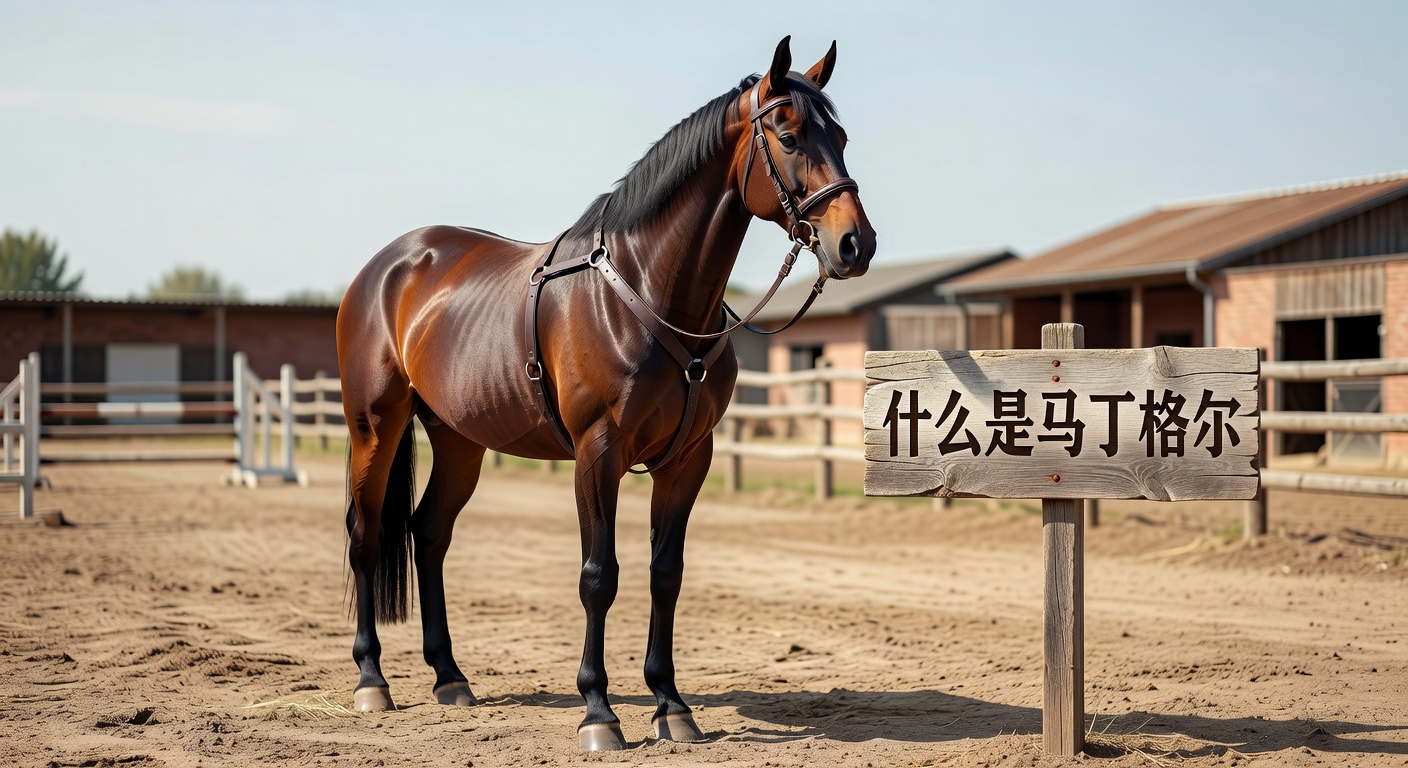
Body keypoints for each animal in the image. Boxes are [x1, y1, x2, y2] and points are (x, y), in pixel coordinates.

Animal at [336, 36, 876, 750]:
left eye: (840, 137)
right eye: (788, 137)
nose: (856, 244)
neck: (645, 291)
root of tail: (387, 266)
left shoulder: (687, 460)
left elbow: (665, 574)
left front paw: (672, 706)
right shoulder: (598, 454)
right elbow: (600, 576)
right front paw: (599, 711)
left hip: (459, 439)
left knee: (429, 533)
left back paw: (450, 677)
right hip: (375, 425)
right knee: (367, 534)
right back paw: (372, 679)